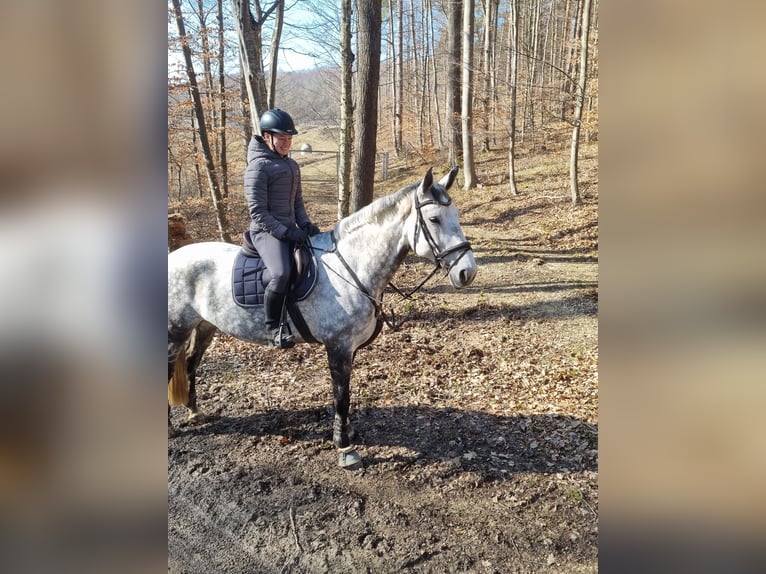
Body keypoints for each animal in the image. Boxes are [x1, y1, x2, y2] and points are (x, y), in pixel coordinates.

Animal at [168, 167, 477, 469]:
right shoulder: (337, 346)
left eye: (456, 215)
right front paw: (345, 448)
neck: (353, 265)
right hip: (176, 331)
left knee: (192, 363)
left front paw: (347, 432)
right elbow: (341, 396)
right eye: (434, 219)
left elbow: (345, 393)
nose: (467, 272)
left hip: (205, 325)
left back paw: (194, 411)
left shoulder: (349, 349)